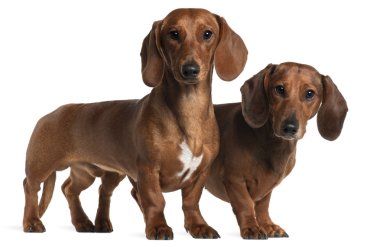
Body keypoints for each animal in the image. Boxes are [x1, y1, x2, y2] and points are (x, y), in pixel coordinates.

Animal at [24, 8, 249, 239]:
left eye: (207, 34)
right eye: (173, 34)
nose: (190, 69)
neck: (189, 110)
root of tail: (50, 114)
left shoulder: (201, 173)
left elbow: (191, 202)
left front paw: (198, 226)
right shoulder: (148, 170)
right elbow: (155, 201)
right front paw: (158, 227)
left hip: (93, 173)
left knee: (75, 189)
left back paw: (87, 222)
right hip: (41, 165)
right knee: (31, 187)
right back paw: (32, 222)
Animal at [205, 61, 348, 239]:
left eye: (310, 93)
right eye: (279, 89)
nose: (290, 128)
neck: (269, 143)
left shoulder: (267, 188)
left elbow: (262, 206)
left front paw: (267, 225)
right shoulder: (233, 179)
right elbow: (245, 205)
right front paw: (251, 227)